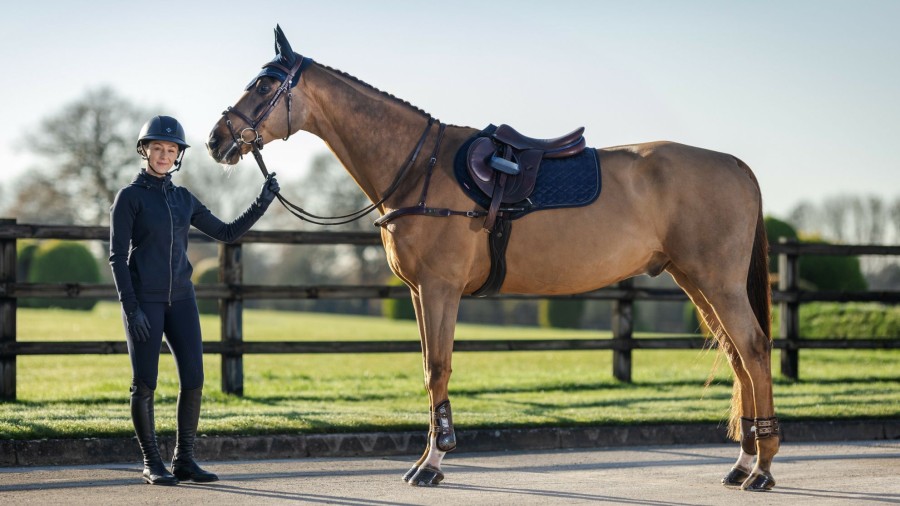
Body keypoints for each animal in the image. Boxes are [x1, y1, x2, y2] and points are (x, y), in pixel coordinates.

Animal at [207, 26, 776, 490]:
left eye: (264, 85)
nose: (216, 139)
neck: (420, 167)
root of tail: (736, 165)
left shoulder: (440, 289)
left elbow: (438, 367)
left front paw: (433, 463)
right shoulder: (420, 293)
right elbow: (427, 368)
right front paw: (429, 457)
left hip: (716, 282)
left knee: (753, 349)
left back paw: (764, 466)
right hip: (694, 280)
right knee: (737, 356)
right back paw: (744, 462)